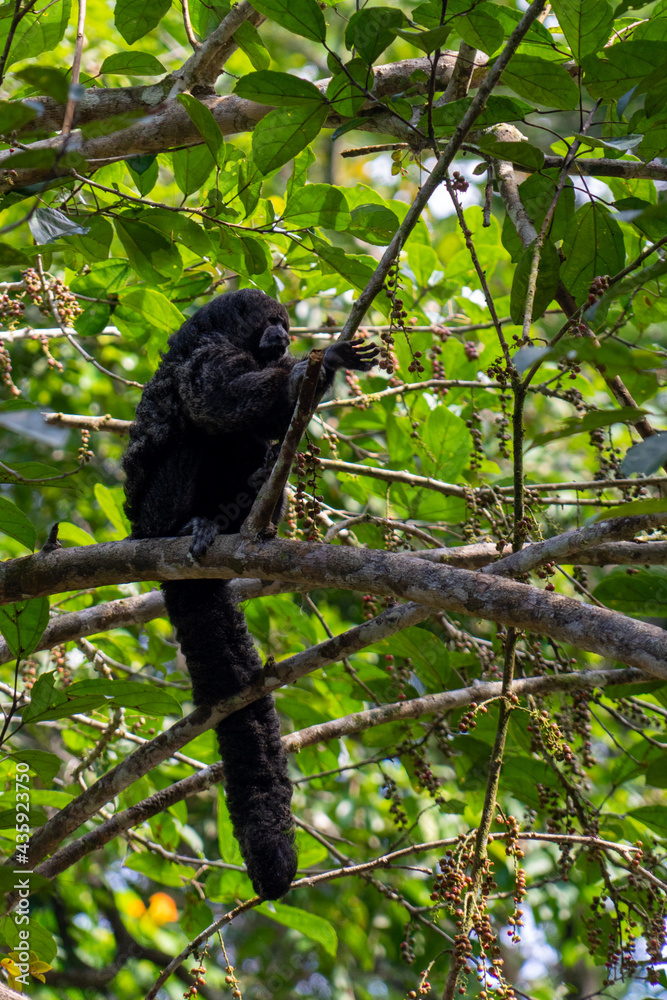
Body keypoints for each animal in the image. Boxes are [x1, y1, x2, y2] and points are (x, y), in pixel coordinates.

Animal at [122, 289, 378, 899]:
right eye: (274, 324)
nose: (284, 339)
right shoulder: (204, 355)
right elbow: (217, 400)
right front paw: (321, 365)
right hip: (152, 513)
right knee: (203, 435)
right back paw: (192, 525)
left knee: (248, 443)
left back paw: (251, 504)